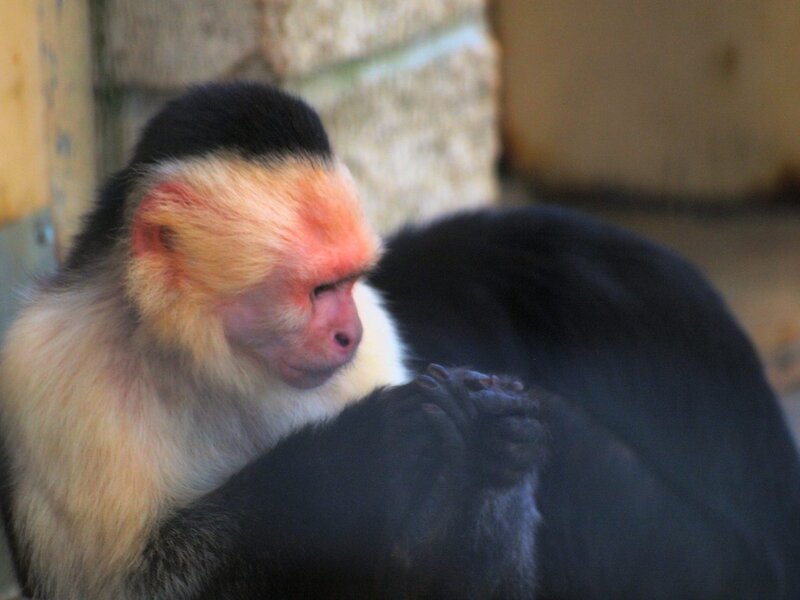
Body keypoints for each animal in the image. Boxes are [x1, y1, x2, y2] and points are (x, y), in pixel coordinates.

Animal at [0, 82, 544, 599]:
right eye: (319, 290)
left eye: (349, 282)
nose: (350, 334)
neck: (203, 366)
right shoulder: (60, 369)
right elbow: (128, 588)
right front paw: (361, 457)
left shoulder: (376, 330)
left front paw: (493, 443)